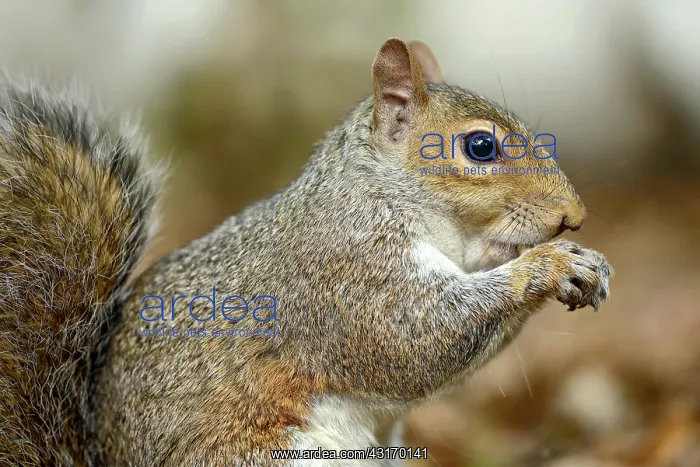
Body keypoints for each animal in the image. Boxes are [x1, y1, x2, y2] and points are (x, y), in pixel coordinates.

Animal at [0, 39, 612, 466]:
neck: (379, 191)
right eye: (480, 147)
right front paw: (551, 265)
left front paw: (585, 262)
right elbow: (416, 339)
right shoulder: (346, 269)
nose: (574, 215)